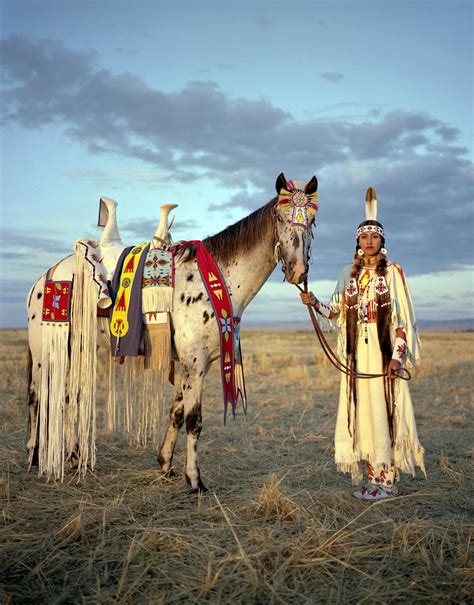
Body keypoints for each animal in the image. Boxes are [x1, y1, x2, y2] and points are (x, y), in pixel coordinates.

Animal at [27, 172, 320, 494]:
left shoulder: (196, 364)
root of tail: (47, 274)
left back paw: (75, 458)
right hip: (46, 350)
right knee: (37, 396)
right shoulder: (195, 361)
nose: (298, 271)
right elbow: (194, 420)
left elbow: (176, 413)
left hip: (79, 348)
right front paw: (194, 480)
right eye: (279, 217)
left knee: (70, 397)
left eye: (312, 221)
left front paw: (165, 464)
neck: (215, 278)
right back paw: (35, 457)